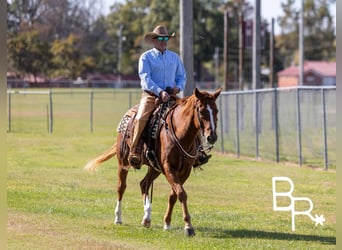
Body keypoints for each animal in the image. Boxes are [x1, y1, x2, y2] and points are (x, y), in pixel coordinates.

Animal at [84, 88, 220, 236]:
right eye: (201, 111)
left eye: (216, 110)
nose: (212, 137)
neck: (181, 134)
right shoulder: (169, 168)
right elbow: (181, 193)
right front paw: (188, 226)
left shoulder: (184, 171)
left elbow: (174, 195)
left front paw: (167, 223)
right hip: (123, 163)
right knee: (121, 187)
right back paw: (118, 218)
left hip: (155, 168)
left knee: (144, 184)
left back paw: (147, 218)